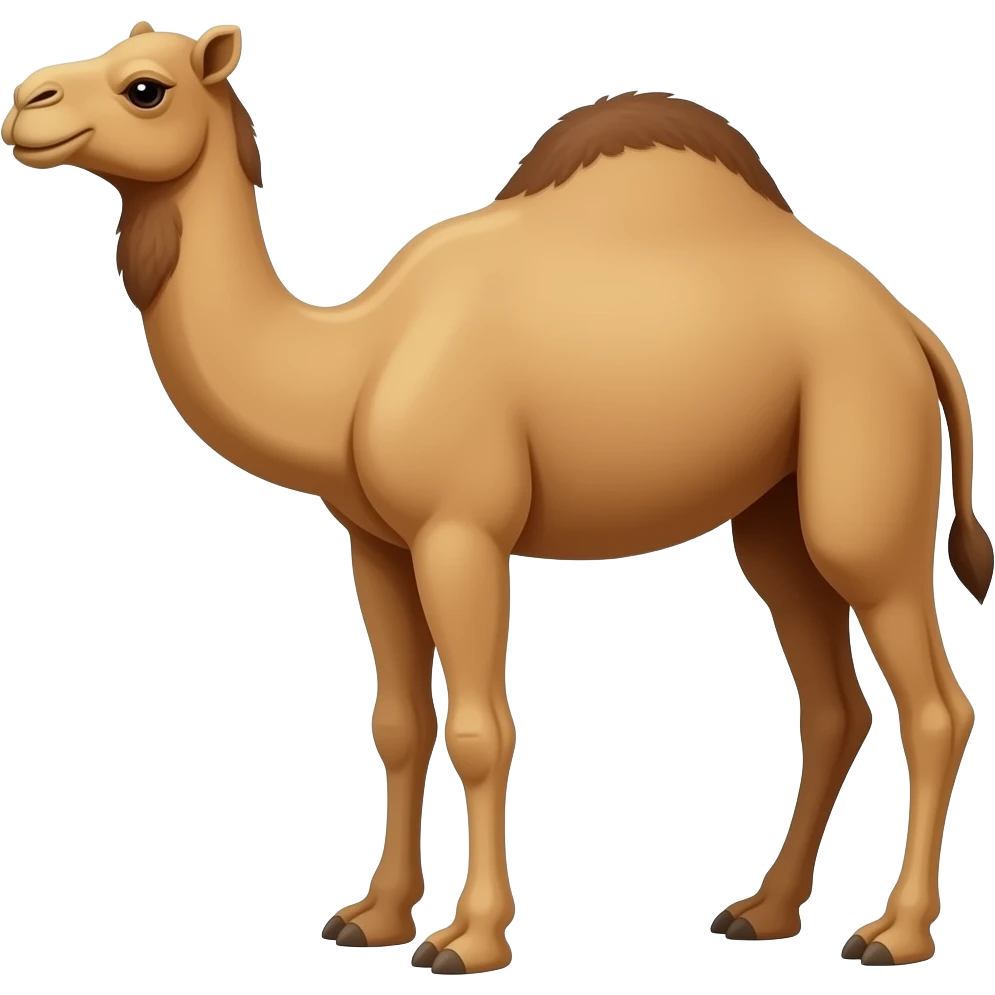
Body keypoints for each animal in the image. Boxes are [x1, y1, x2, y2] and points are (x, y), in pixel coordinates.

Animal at [4, 21, 991, 974]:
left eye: (145, 86)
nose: (25, 101)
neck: (352, 365)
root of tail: (911, 330)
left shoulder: (460, 530)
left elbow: (481, 730)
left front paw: (466, 940)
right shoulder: (377, 544)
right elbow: (399, 723)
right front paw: (371, 917)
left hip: (863, 481)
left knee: (934, 705)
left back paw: (893, 933)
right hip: (775, 517)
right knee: (830, 705)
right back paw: (762, 912)